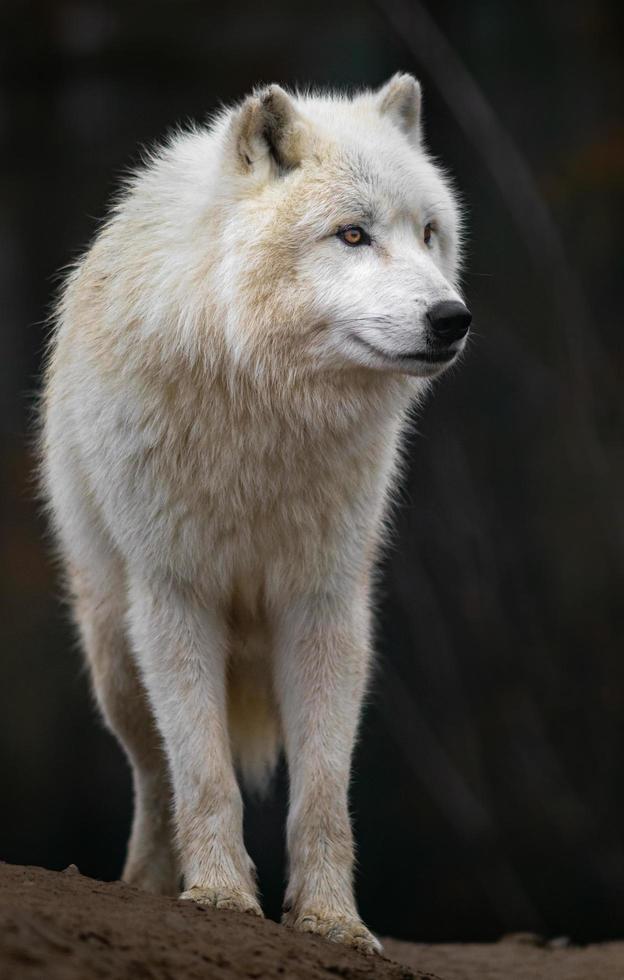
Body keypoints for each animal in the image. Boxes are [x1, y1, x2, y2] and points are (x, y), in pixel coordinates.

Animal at [41, 78, 470, 956]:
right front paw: (218, 895)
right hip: (115, 656)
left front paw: (333, 920)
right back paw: (144, 885)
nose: (453, 318)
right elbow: (203, 775)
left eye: (429, 234)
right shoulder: (176, 595)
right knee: (153, 773)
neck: (265, 409)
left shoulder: (325, 605)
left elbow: (324, 794)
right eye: (352, 234)